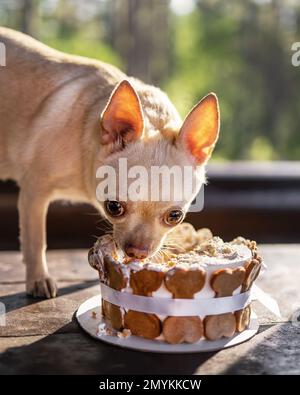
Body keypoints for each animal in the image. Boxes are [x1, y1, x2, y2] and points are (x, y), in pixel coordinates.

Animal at [0, 27, 219, 298]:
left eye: (175, 216)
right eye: (113, 207)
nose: (137, 252)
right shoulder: (34, 193)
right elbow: (35, 240)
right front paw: (39, 279)